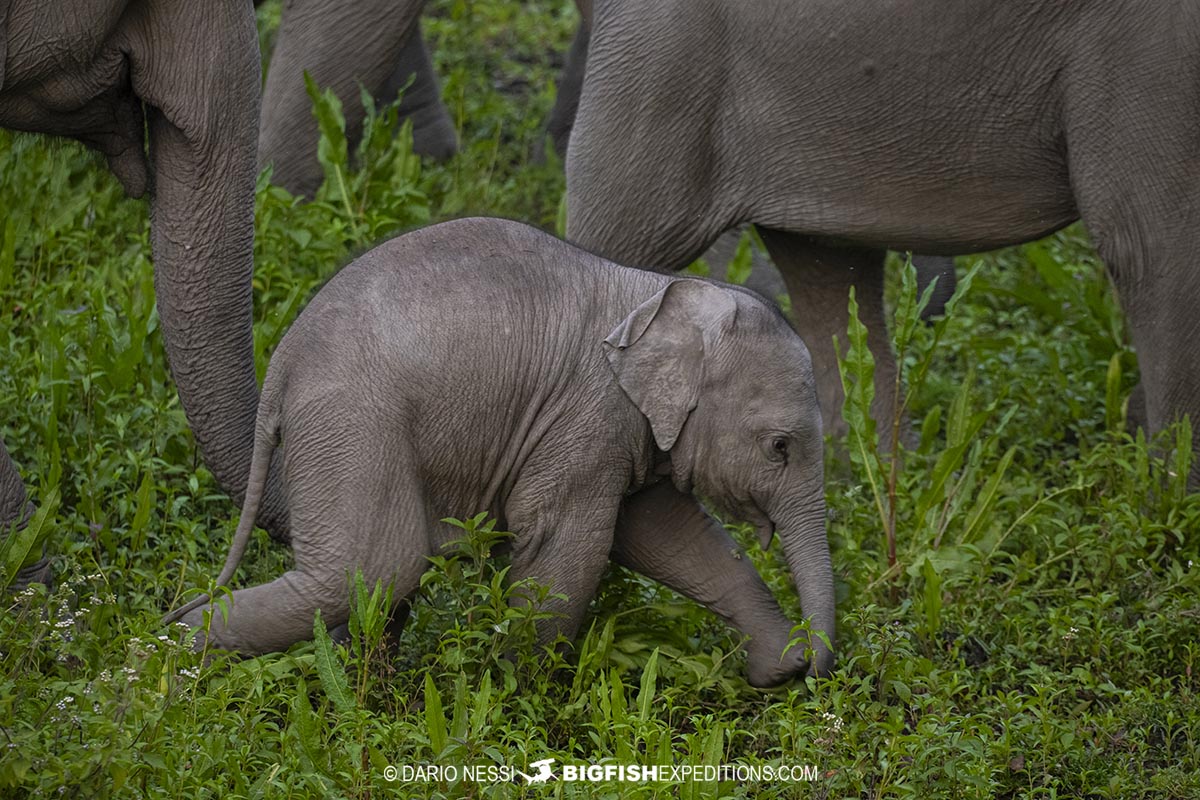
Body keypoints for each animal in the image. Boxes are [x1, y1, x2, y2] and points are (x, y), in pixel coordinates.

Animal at [165, 217, 835, 685]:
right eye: (779, 447)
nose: (818, 672)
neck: (664, 290)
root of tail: (282, 362)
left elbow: (664, 533)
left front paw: (778, 669)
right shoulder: (588, 415)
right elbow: (572, 543)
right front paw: (521, 690)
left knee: (372, 578)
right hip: (354, 422)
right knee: (370, 569)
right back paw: (162, 664)